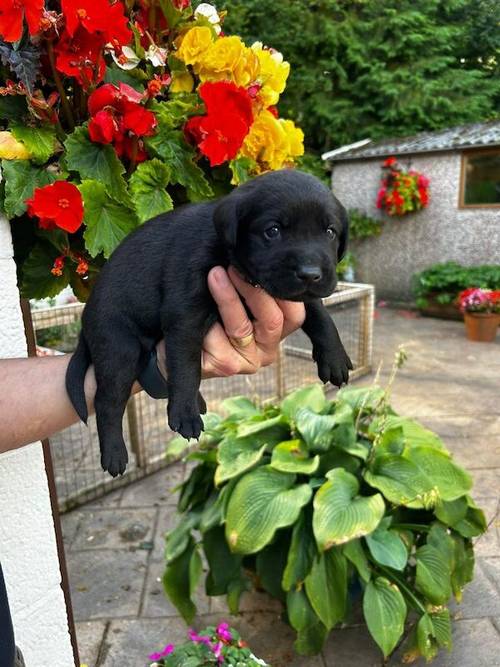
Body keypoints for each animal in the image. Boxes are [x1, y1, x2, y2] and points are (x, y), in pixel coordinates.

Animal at [66, 170, 354, 478]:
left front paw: (335, 357)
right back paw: (114, 453)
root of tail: (85, 320)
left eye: (330, 232)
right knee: (107, 401)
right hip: (119, 347)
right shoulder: (185, 312)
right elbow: (186, 366)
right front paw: (184, 412)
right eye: (273, 231)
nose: (310, 274)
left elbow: (320, 315)